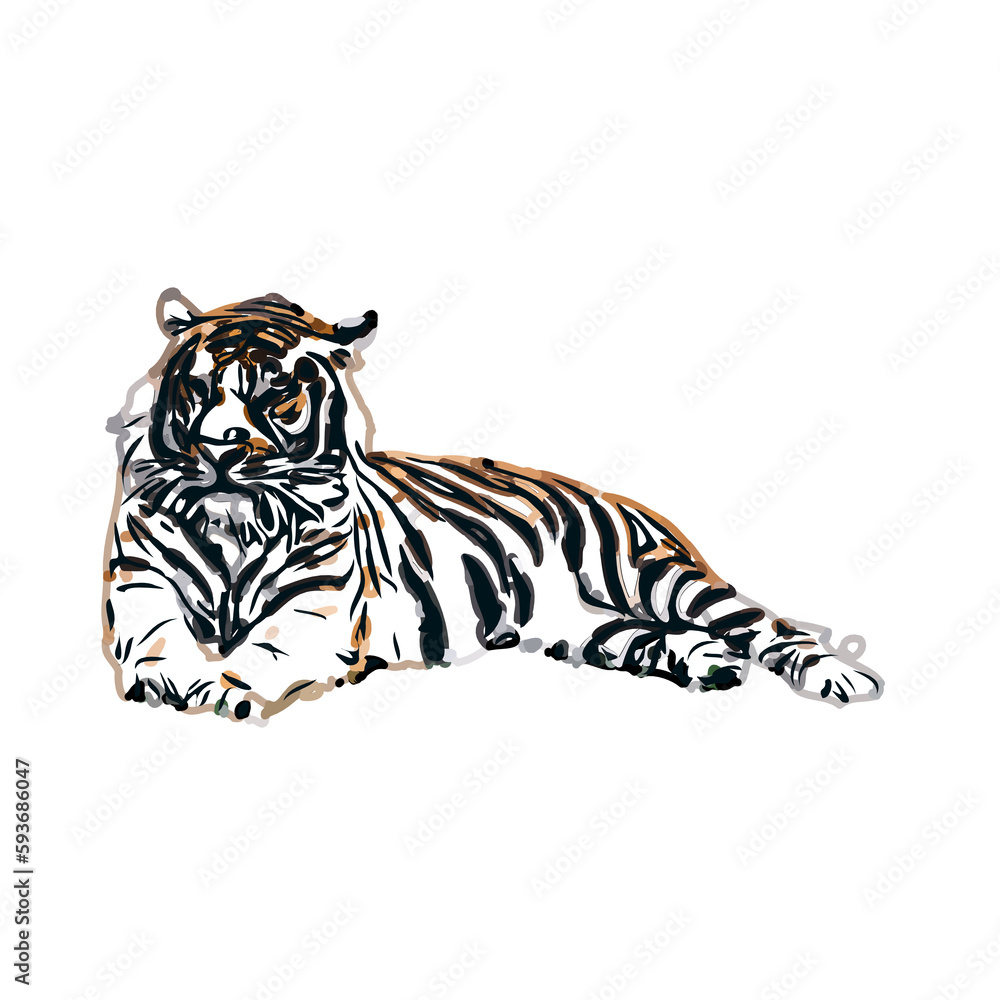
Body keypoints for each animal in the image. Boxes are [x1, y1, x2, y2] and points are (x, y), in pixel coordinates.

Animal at [101, 289, 884, 725]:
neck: (234, 521)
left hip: (661, 578)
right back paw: (708, 663)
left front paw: (216, 689)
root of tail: (611, 494)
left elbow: (256, 655)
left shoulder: (310, 618)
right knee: (660, 639)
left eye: (277, 395)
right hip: (591, 630)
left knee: (767, 626)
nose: (218, 450)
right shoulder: (142, 591)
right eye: (199, 390)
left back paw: (840, 679)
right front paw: (174, 680)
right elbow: (162, 641)